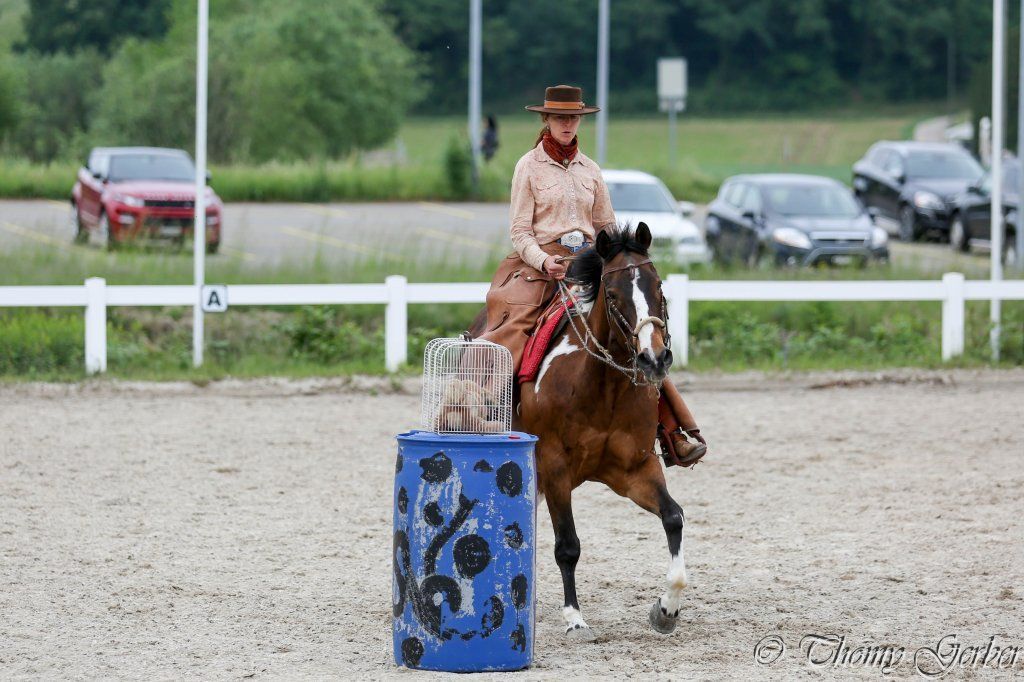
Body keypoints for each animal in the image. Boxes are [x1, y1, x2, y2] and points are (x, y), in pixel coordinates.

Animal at [468, 223, 688, 638]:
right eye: (613, 294)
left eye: (659, 287)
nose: (654, 358)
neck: (599, 385)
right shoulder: (555, 467)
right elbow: (567, 545)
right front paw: (574, 617)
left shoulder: (635, 470)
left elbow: (673, 517)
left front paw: (666, 610)